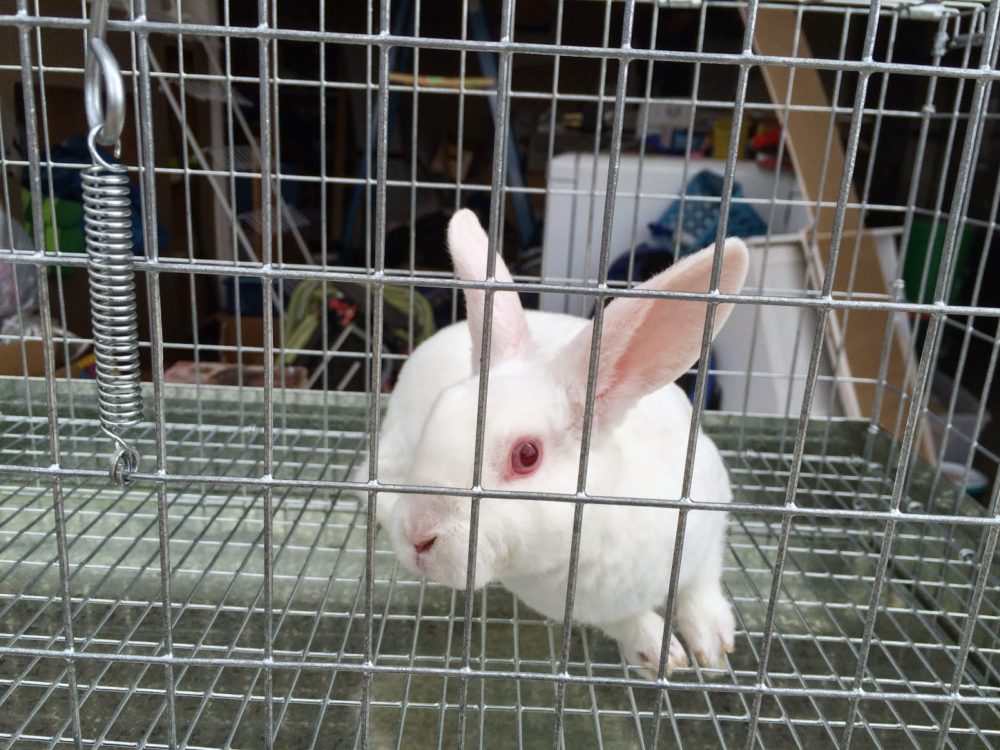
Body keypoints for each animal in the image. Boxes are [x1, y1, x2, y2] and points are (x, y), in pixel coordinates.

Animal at [359, 208, 748, 677]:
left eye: (526, 455)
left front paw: (715, 649)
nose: (418, 538)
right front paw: (659, 654)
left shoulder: (708, 516)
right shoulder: (582, 607)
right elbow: (629, 620)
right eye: (436, 419)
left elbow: (701, 583)